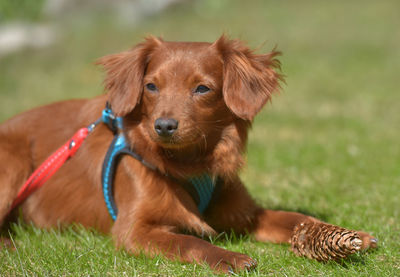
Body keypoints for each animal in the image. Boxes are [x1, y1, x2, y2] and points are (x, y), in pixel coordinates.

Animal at [0, 36, 376, 272]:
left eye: (202, 88)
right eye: (151, 86)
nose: (164, 126)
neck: (190, 163)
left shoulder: (246, 215)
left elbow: (295, 218)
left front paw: (349, 235)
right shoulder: (132, 230)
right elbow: (187, 241)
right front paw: (228, 257)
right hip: (12, 164)